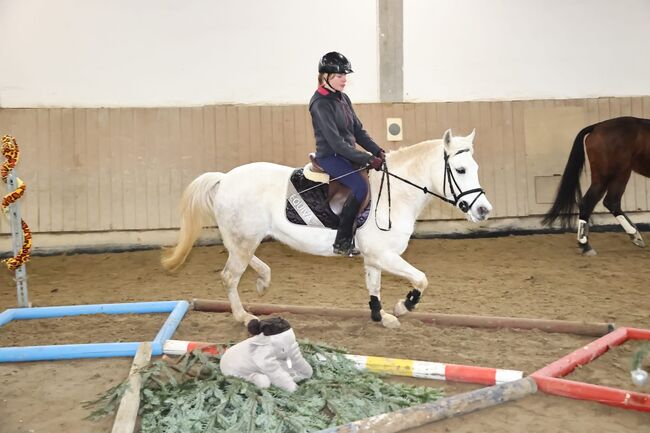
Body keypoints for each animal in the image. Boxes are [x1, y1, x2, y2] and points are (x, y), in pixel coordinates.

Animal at [162, 128, 492, 328]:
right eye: (460, 170)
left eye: (475, 168)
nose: (483, 210)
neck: (397, 192)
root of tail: (225, 178)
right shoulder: (384, 255)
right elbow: (421, 279)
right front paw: (403, 307)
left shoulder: (374, 257)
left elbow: (374, 286)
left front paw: (381, 316)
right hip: (244, 238)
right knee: (230, 276)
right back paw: (244, 316)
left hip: (244, 238)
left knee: (239, 262)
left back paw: (263, 281)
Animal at [540, 116, 648, 255]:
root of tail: (597, 126)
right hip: (612, 174)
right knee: (592, 202)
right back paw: (585, 245)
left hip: (619, 174)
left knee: (611, 202)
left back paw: (635, 236)